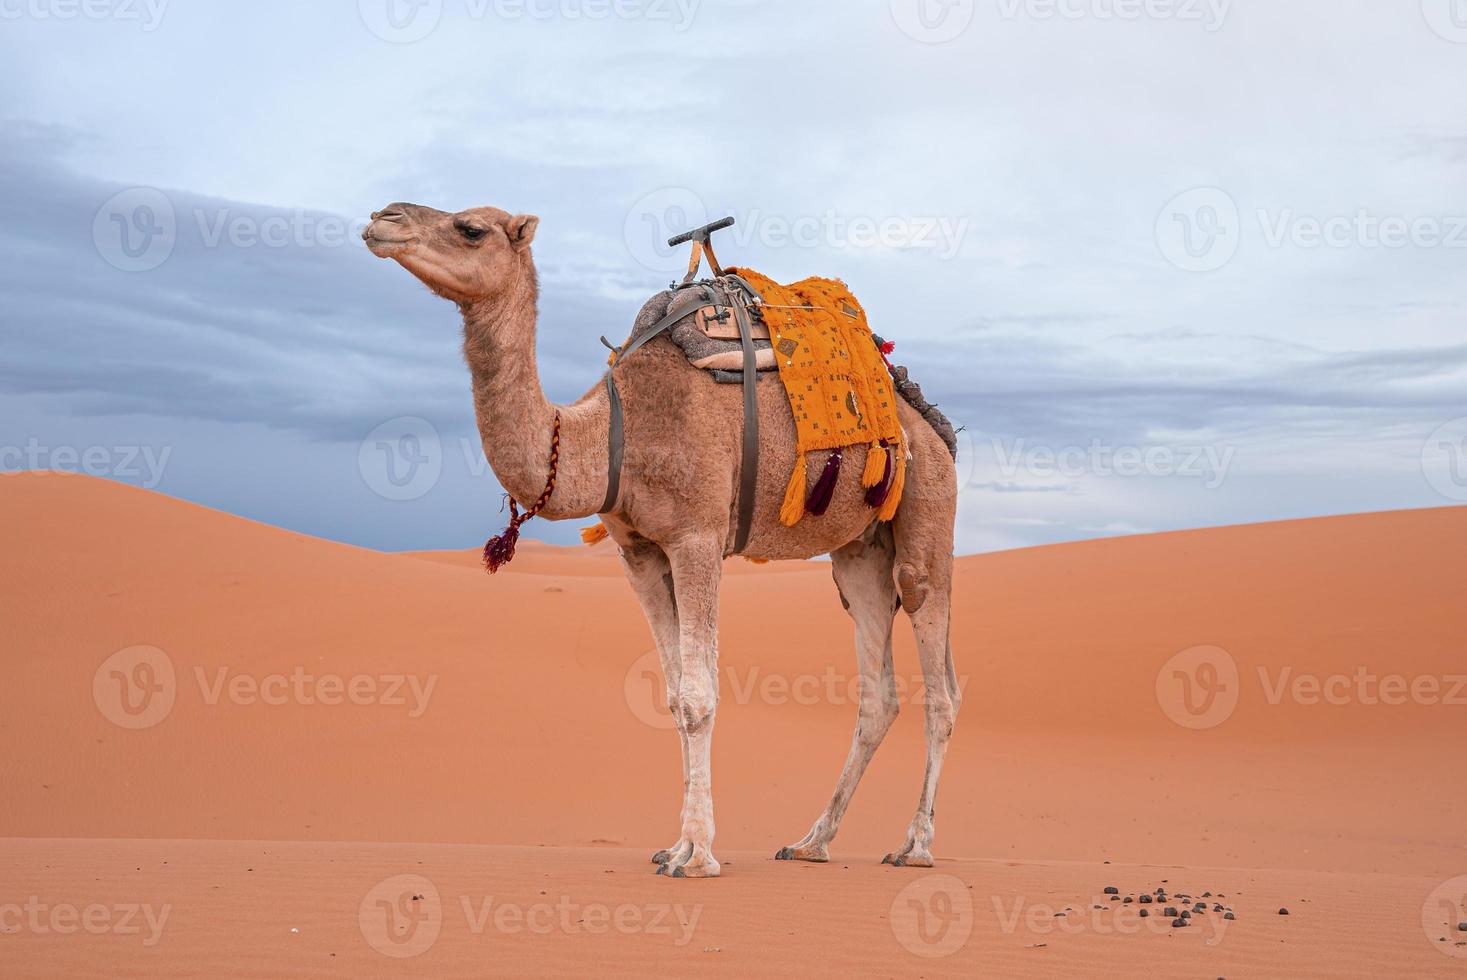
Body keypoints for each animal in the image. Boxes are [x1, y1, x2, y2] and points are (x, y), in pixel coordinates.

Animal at [363, 202, 962, 874]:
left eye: (470, 228)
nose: (382, 217)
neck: (614, 433)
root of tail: (930, 421)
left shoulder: (697, 536)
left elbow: (700, 697)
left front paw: (697, 854)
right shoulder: (640, 552)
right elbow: (675, 698)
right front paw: (675, 844)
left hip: (928, 508)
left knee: (939, 682)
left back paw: (915, 845)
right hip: (859, 549)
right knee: (878, 688)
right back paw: (811, 841)